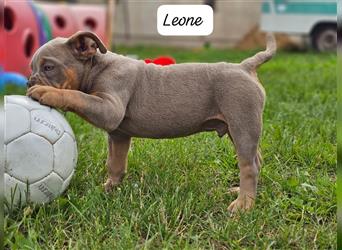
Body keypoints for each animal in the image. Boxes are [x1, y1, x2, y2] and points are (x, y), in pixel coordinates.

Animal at [28, 30, 276, 212]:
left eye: (48, 67)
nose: (29, 81)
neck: (96, 66)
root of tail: (245, 66)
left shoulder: (109, 109)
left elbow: (77, 95)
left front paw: (47, 92)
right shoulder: (119, 134)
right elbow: (115, 163)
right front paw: (108, 189)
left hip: (242, 125)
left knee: (249, 166)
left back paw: (244, 204)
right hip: (239, 128)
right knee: (256, 160)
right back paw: (243, 193)